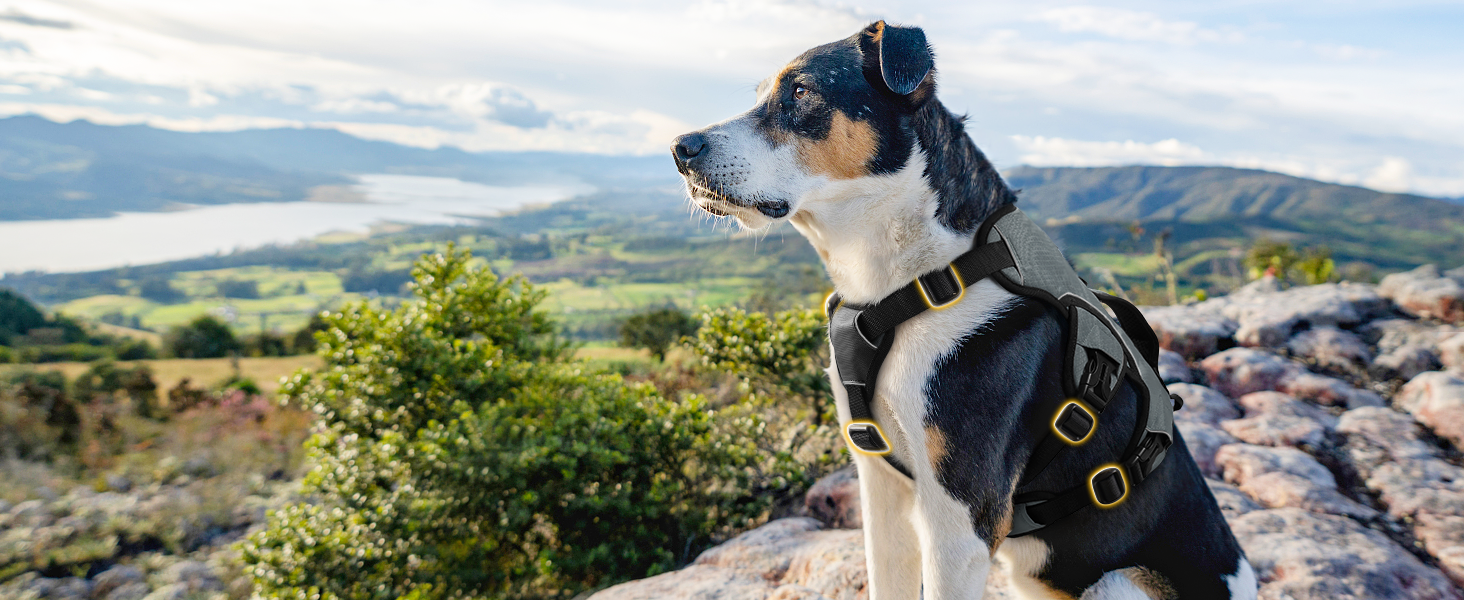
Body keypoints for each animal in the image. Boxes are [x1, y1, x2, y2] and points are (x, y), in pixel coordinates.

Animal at [670, 19, 1253, 600]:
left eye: (800, 90)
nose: (680, 147)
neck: (913, 281)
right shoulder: (879, 485)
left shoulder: (960, 520)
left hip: (1118, 582)